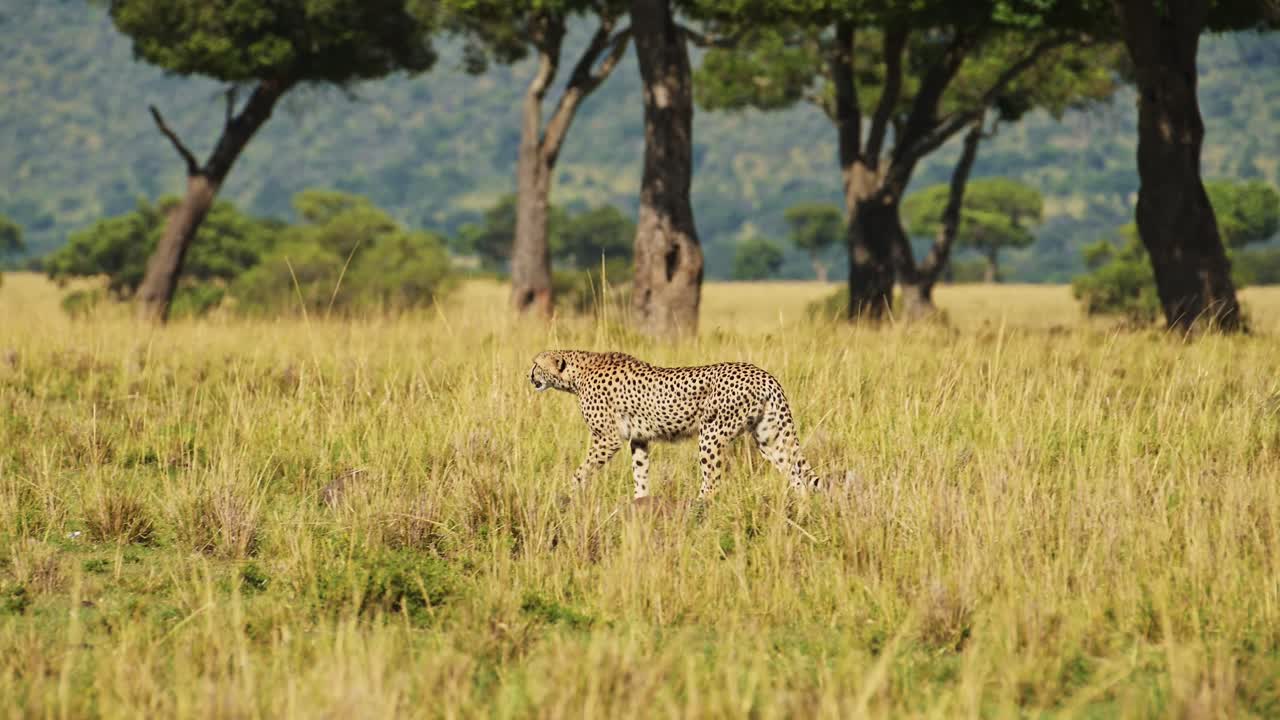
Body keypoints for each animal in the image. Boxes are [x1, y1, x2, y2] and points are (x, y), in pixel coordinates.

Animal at [529, 350, 822, 499]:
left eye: (536, 365)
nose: (529, 376)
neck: (578, 373)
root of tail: (764, 375)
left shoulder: (607, 438)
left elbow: (583, 470)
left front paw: (571, 491)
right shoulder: (639, 439)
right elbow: (640, 472)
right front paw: (640, 501)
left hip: (711, 434)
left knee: (712, 482)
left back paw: (697, 511)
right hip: (769, 437)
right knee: (796, 475)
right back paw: (800, 509)